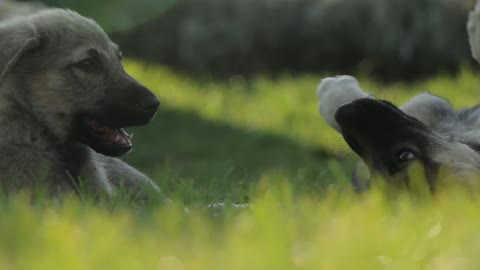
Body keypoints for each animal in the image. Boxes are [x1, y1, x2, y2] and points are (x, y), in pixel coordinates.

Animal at [316, 75, 480, 191]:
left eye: (405, 155)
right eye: (373, 178)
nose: (342, 114)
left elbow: (424, 103)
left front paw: (334, 91)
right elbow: (424, 104)